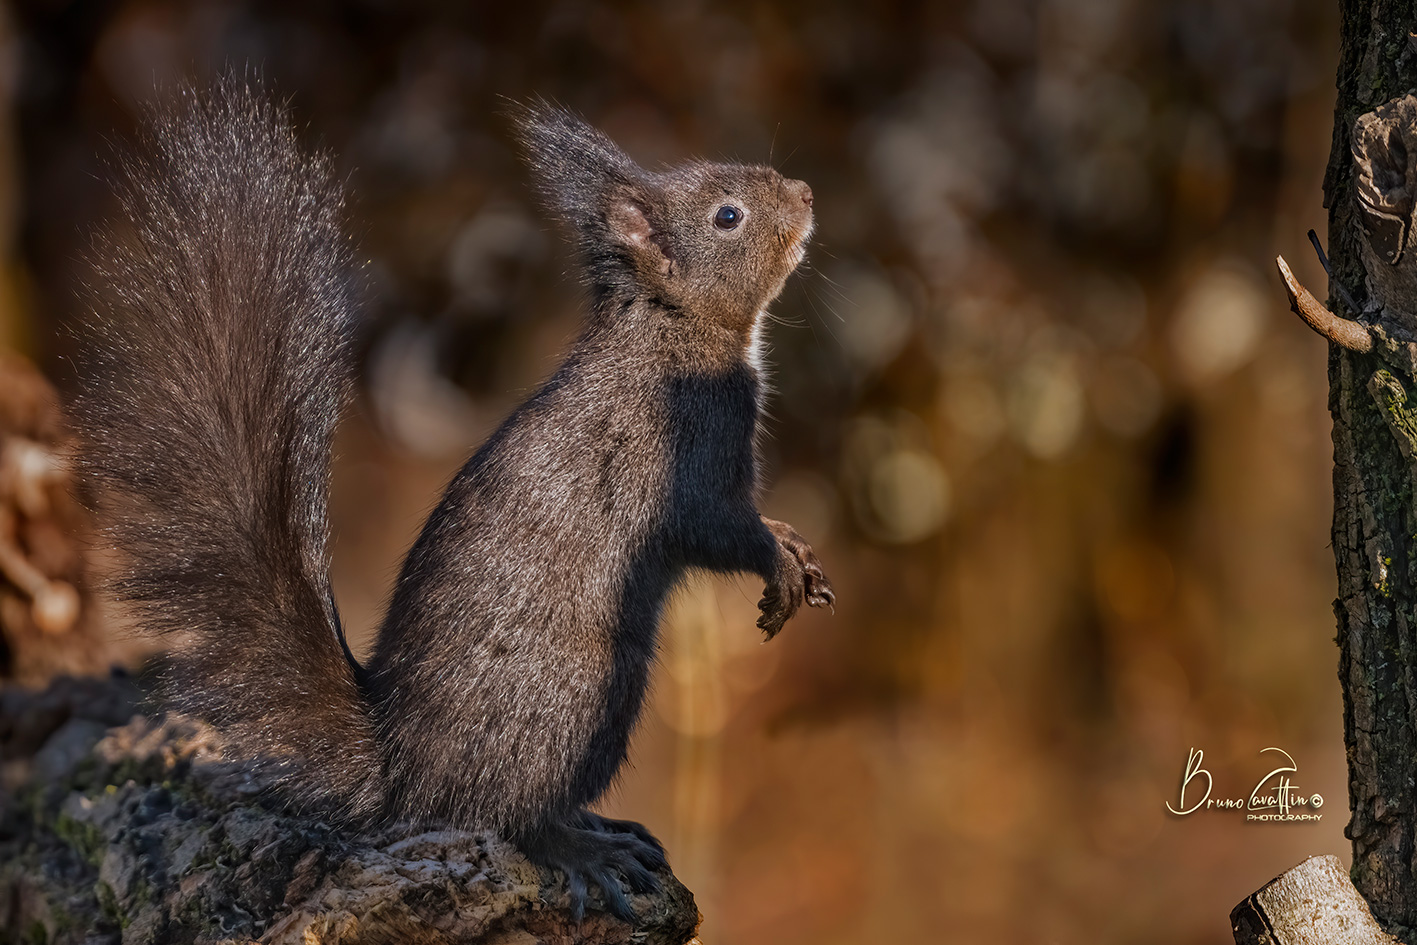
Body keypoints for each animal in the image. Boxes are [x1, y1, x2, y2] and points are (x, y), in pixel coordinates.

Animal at [76, 78, 834, 923]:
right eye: (727, 216)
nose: (805, 192)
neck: (673, 329)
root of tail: (406, 770)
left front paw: (793, 541)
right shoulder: (690, 446)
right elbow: (717, 528)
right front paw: (777, 563)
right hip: (584, 695)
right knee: (512, 816)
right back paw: (584, 848)